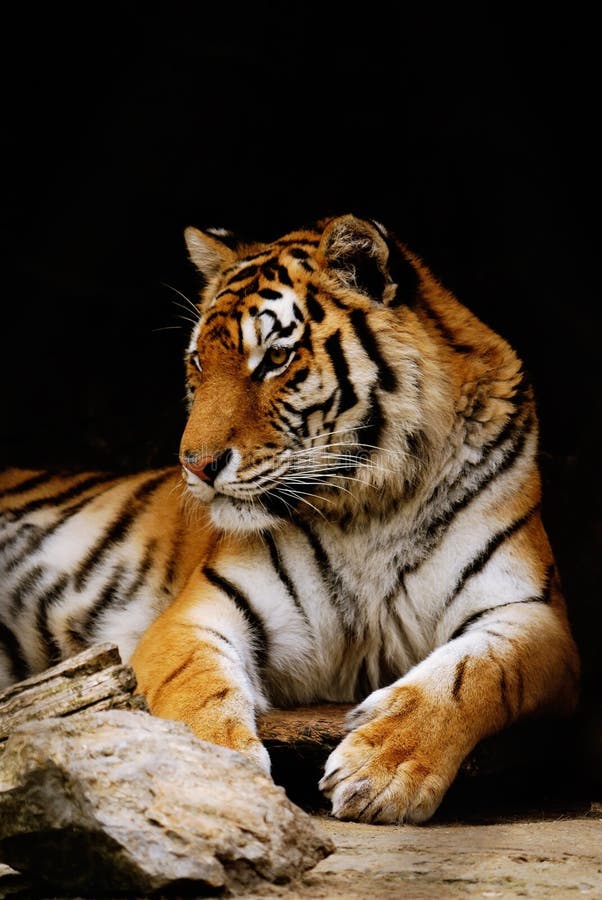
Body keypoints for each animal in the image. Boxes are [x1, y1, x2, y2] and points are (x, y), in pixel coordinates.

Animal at [0, 214, 580, 824]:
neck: (373, 502)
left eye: (276, 359)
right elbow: (195, 690)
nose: (195, 464)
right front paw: (216, 779)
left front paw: (383, 768)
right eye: (199, 362)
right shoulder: (195, 615)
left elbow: (472, 676)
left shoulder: (534, 617)